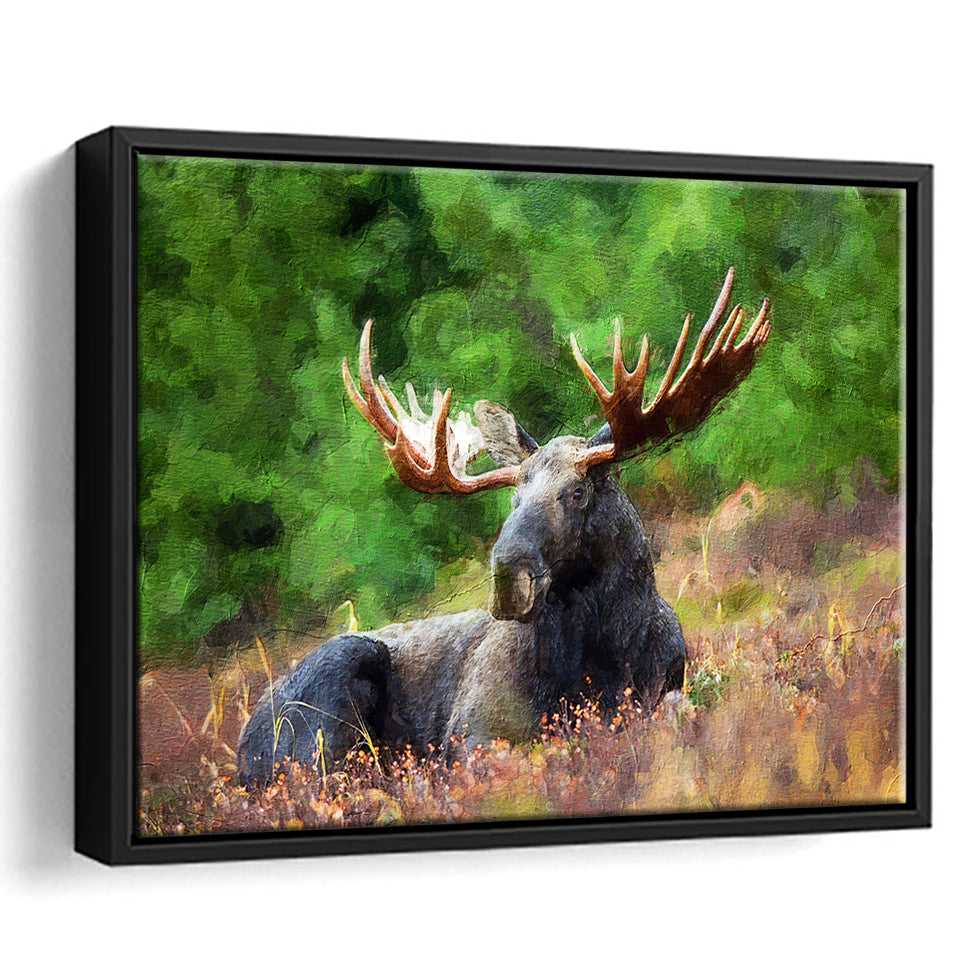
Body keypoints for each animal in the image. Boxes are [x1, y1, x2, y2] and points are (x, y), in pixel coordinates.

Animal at [237, 268, 770, 784]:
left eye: (578, 492)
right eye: (514, 497)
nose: (509, 578)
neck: (602, 657)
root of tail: (243, 746)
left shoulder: (667, 687)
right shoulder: (473, 730)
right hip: (331, 693)